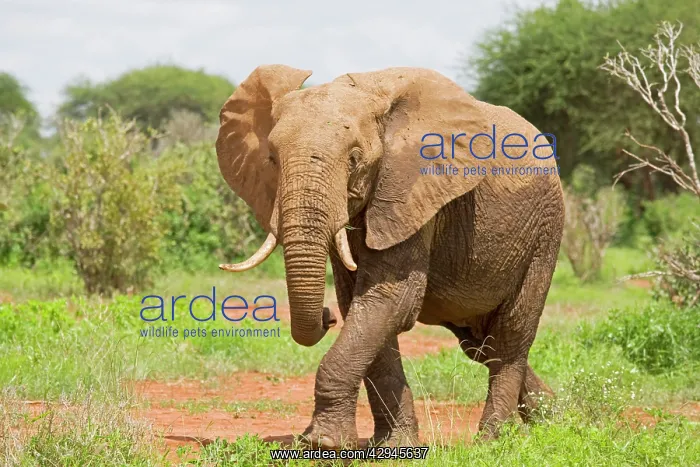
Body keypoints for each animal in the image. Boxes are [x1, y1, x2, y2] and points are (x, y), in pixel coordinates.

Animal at [215, 65, 564, 448]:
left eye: (354, 160)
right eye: (273, 160)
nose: (326, 317)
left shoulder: (412, 189)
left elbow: (390, 299)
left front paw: (323, 444)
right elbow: (361, 306)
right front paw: (394, 446)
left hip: (544, 231)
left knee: (509, 337)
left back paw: (492, 441)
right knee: (480, 344)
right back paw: (559, 419)